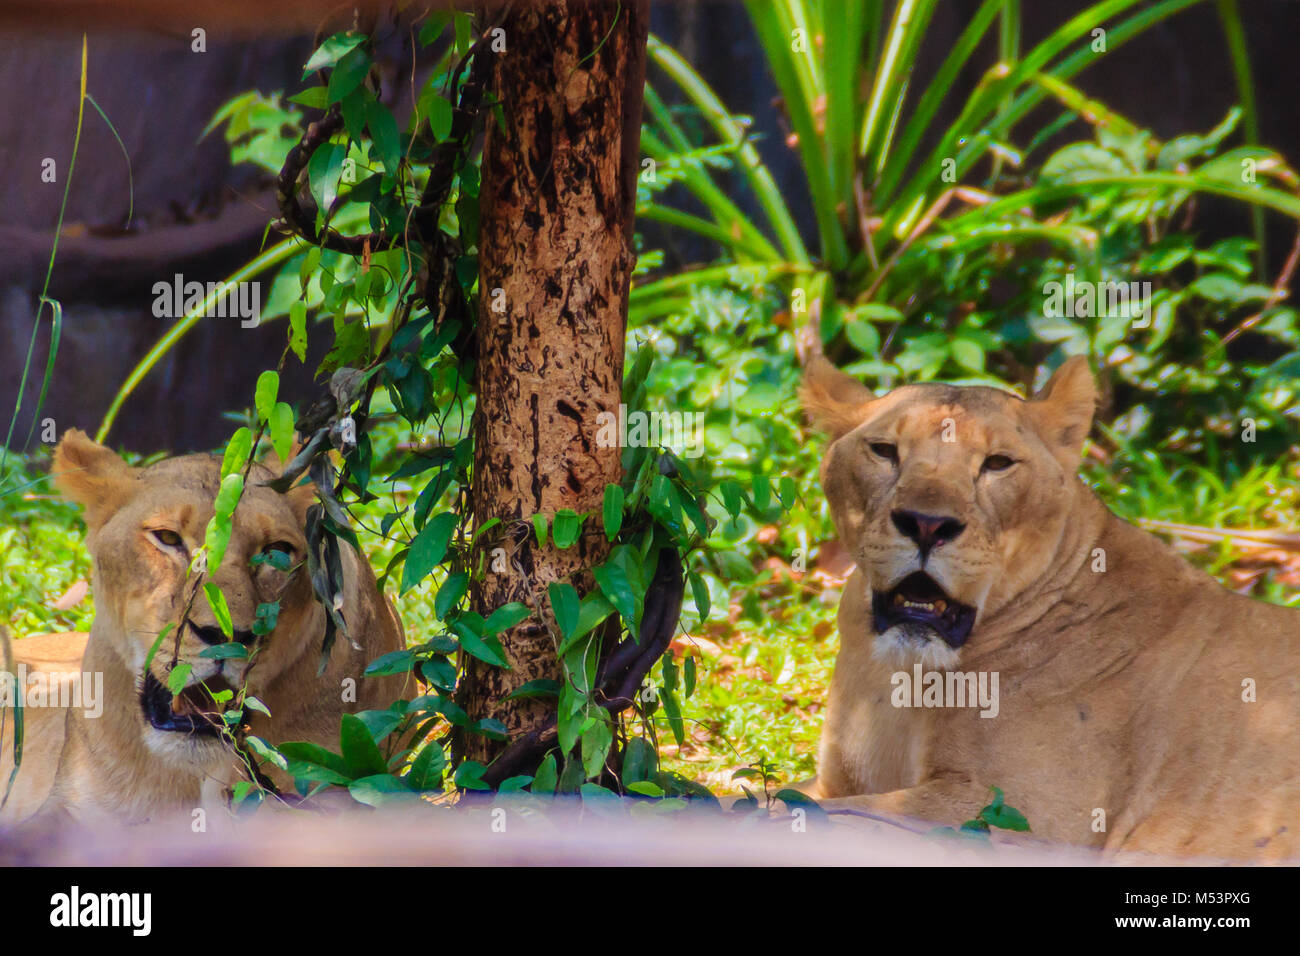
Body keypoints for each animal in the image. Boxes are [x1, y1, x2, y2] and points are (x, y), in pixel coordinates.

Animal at [799, 355, 1300, 860]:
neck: (903, 678)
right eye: (884, 451)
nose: (926, 525)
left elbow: (813, 814)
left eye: (998, 463)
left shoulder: (1018, 817)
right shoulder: (836, 780)